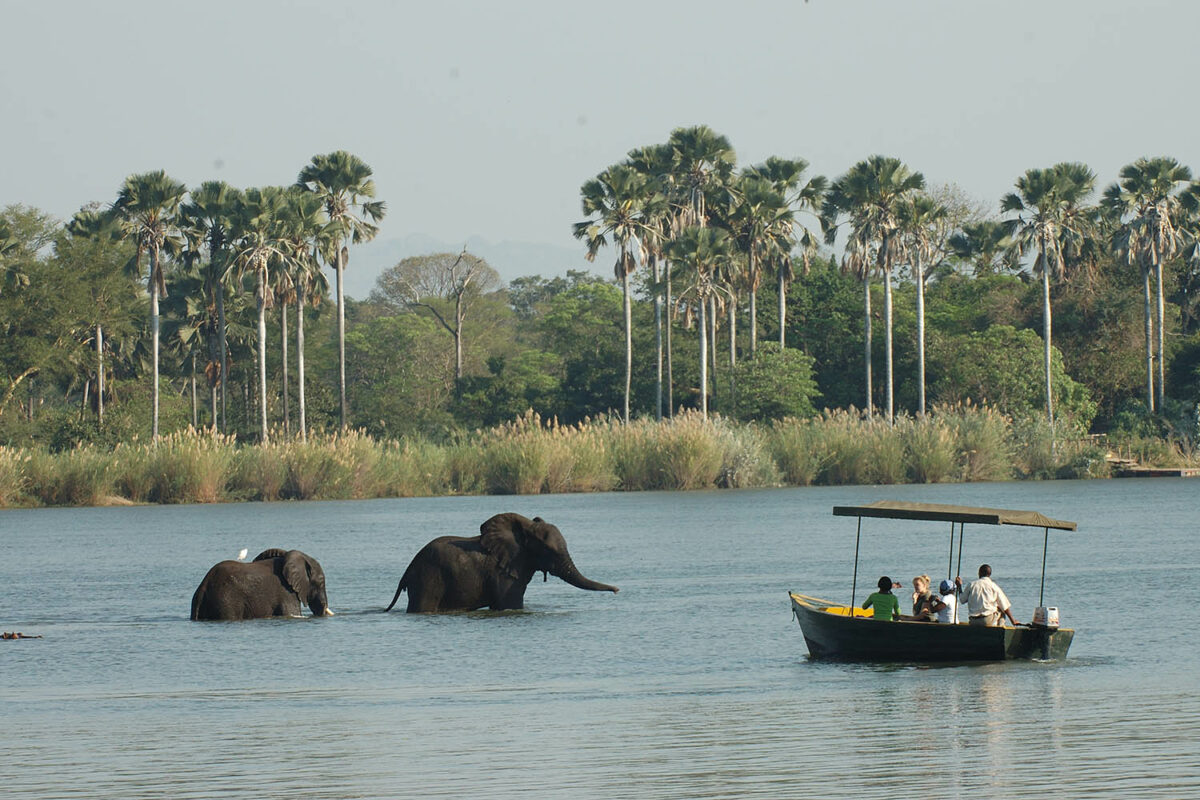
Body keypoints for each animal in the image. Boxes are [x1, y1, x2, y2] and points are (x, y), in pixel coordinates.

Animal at [386, 513, 619, 614]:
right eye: (548, 550)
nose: (617, 590)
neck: (525, 528)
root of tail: (407, 571)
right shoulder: (503, 573)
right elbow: (510, 604)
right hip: (428, 579)